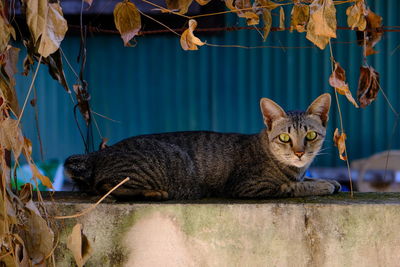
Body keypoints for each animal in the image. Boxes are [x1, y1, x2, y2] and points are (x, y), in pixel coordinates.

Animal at [65, 93, 340, 200]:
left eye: (311, 135)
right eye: (284, 138)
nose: (299, 153)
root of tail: (100, 153)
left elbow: (304, 180)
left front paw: (328, 181)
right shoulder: (248, 186)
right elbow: (291, 187)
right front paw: (321, 185)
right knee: (106, 189)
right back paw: (152, 193)